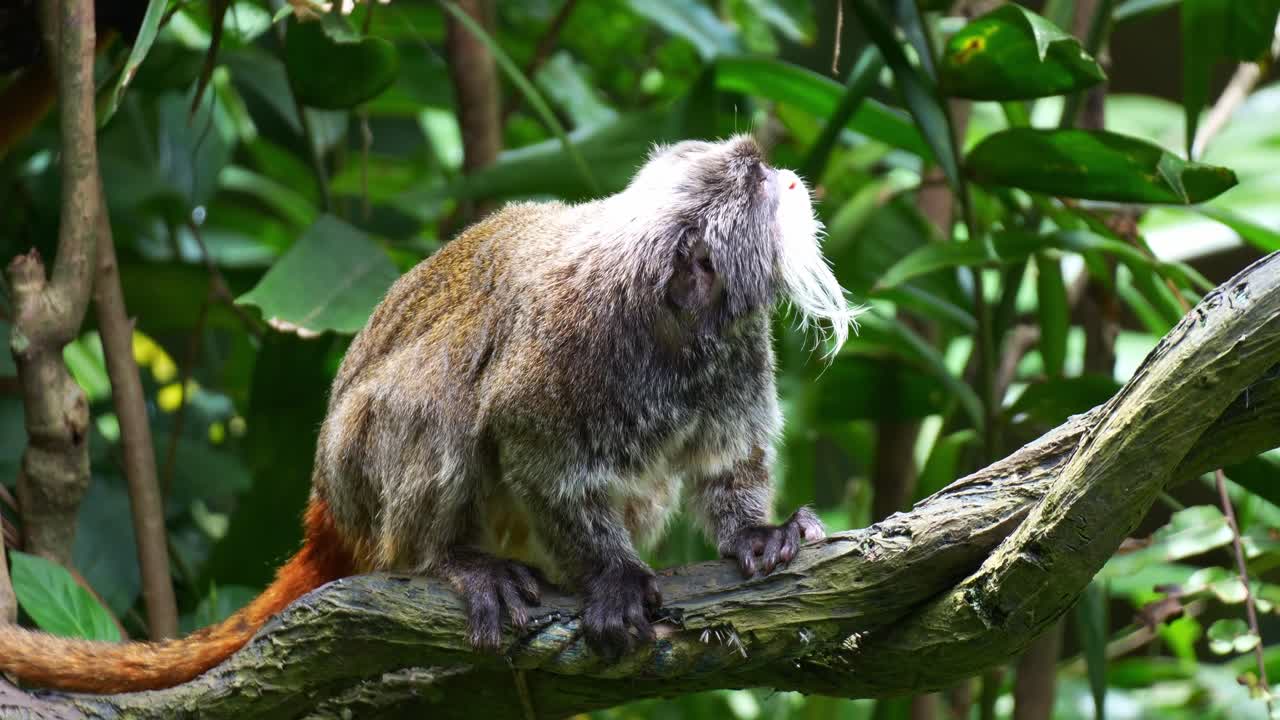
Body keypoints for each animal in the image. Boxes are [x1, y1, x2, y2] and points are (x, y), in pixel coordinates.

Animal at [0, 134, 854, 693]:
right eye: (751, 178)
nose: (780, 170)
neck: (675, 332)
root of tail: (328, 506)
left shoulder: (739, 350)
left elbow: (729, 459)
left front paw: (757, 533)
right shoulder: (562, 348)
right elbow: (530, 452)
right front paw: (610, 577)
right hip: (360, 476)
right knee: (443, 393)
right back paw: (448, 561)